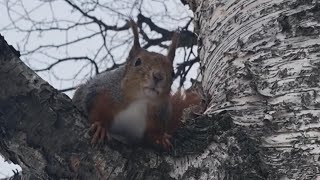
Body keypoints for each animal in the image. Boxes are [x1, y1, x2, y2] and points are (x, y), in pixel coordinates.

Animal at [72, 19, 202, 150]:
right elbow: (95, 112)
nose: (158, 76)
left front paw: (159, 138)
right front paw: (100, 127)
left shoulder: (159, 116)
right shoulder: (99, 92)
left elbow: (153, 133)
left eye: (173, 72)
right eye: (137, 62)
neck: (141, 99)